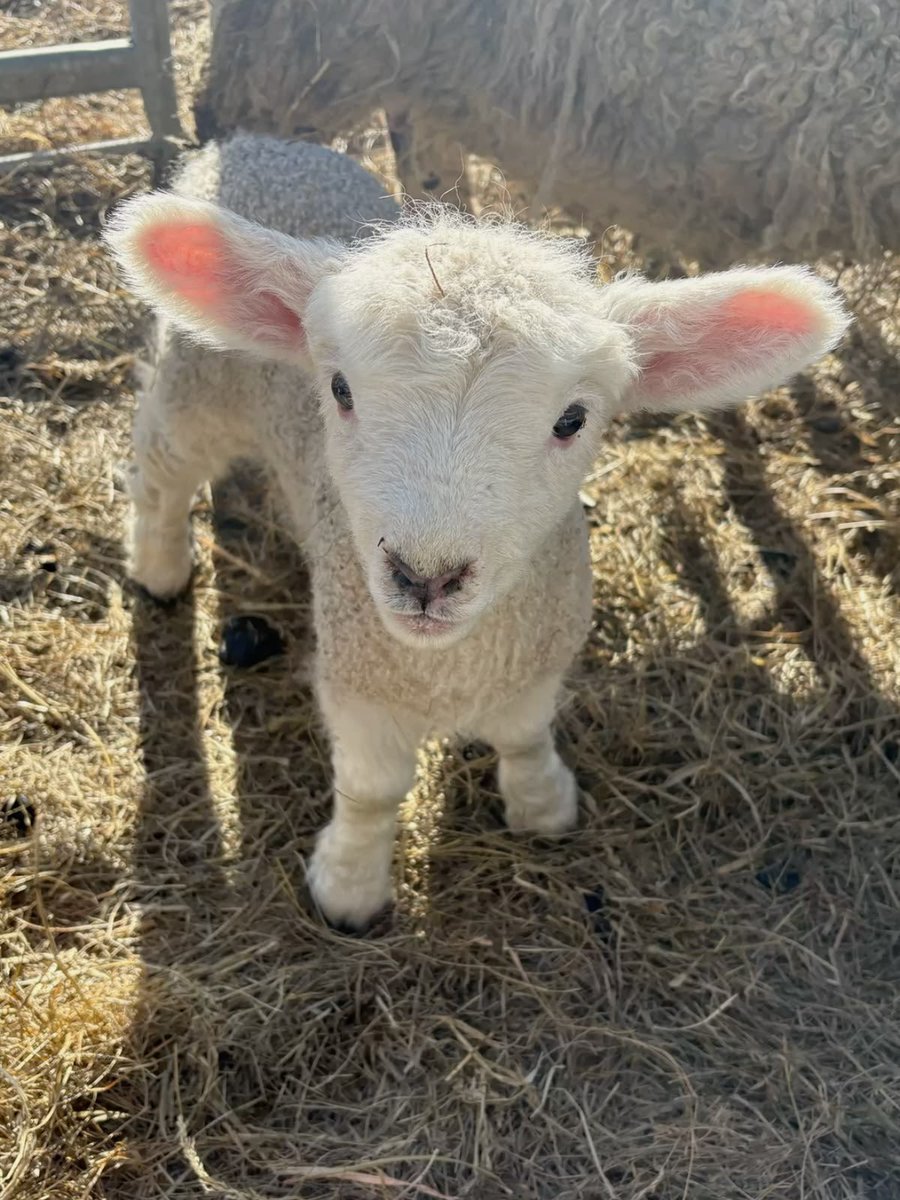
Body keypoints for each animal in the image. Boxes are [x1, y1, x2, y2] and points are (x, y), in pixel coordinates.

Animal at [105, 133, 849, 930]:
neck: (452, 666)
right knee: (161, 477)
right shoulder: (357, 678)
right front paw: (350, 888)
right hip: (192, 389)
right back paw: (158, 568)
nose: (425, 576)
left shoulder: (538, 656)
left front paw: (542, 806)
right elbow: (372, 792)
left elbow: (523, 737)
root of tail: (256, 142)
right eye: (339, 389)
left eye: (572, 419)